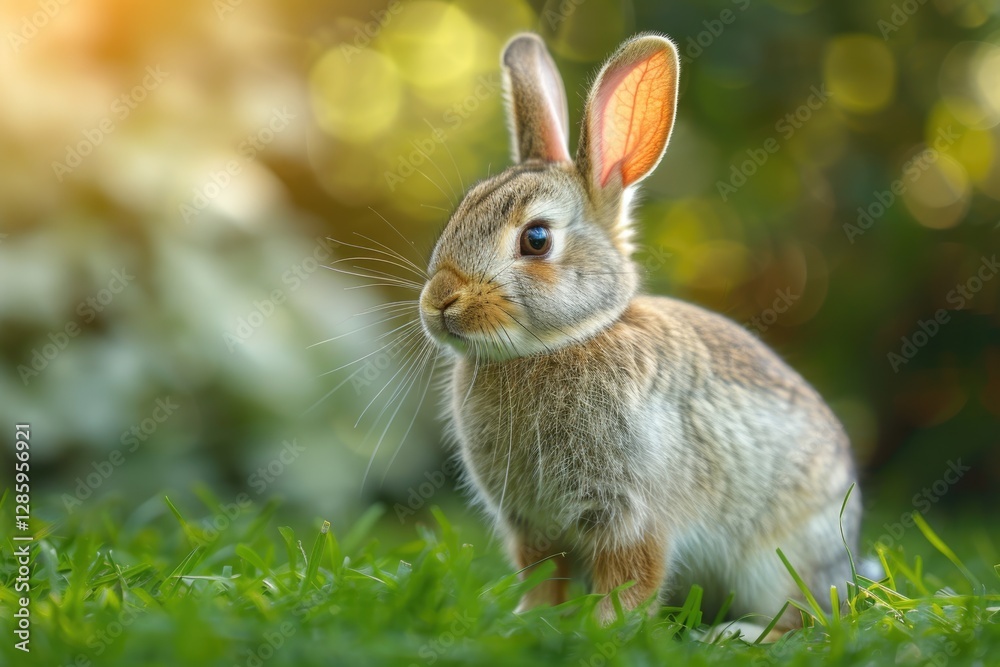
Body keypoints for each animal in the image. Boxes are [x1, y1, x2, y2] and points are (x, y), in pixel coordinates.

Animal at [417, 31, 861, 634]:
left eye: (536, 239)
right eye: (458, 215)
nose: (440, 303)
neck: (567, 340)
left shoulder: (631, 513)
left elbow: (632, 577)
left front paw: (605, 631)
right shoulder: (532, 526)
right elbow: (543, 578)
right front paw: (528, 622)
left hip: (777, 555)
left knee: (804, 615)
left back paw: (736, 634)